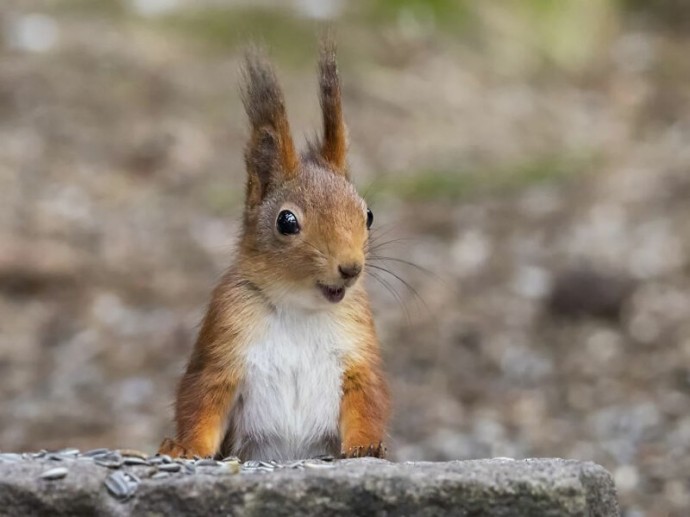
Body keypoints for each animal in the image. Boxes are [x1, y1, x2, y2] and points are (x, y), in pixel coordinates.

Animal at [158, 41, 390, 460]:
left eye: (368, 215)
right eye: (287, 222)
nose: (351, 268)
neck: (299, 307)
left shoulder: (358, 352)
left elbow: (368, 400)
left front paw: (365, 446)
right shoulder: (224, 342)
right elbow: (201, 401)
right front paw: (185, 448)